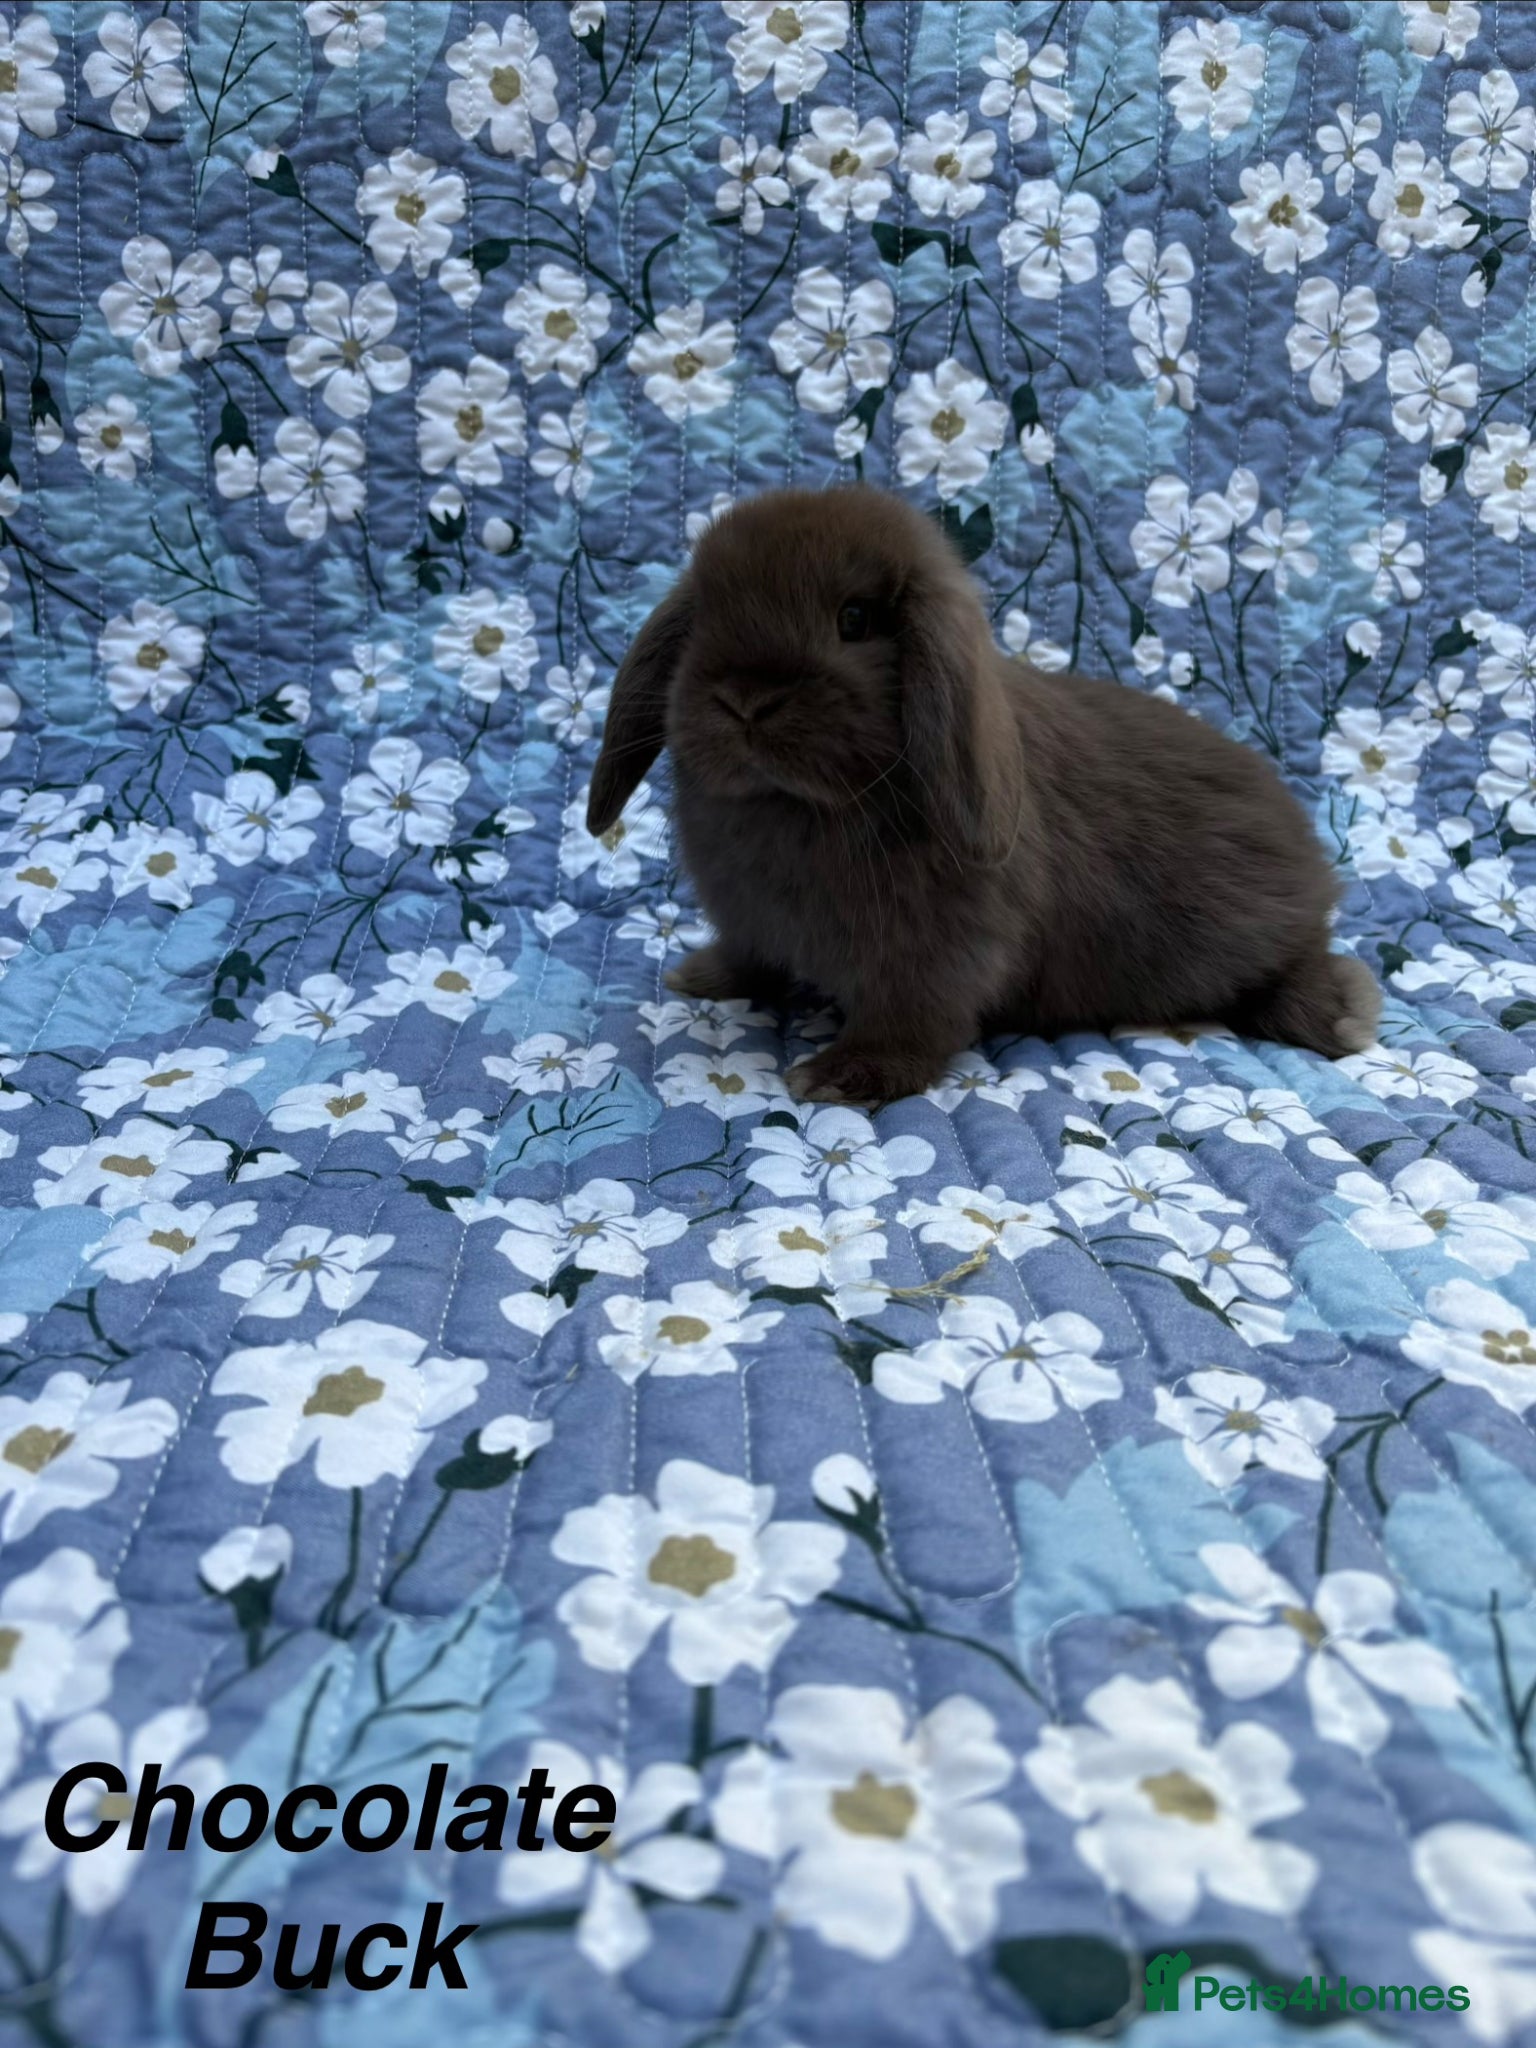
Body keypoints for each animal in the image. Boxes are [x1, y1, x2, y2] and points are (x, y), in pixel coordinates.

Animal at [586, 484, 1381, 1108]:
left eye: (854, 620)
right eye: (706, 611)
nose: (745, 700)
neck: (801, 808)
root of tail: (1311, 854)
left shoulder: (938, 953)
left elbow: (912, 1020)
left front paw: (843, 1076)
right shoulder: (752, 921)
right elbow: (753, 957)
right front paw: (703, 976)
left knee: (1299, 966)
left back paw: (1345, 1014)